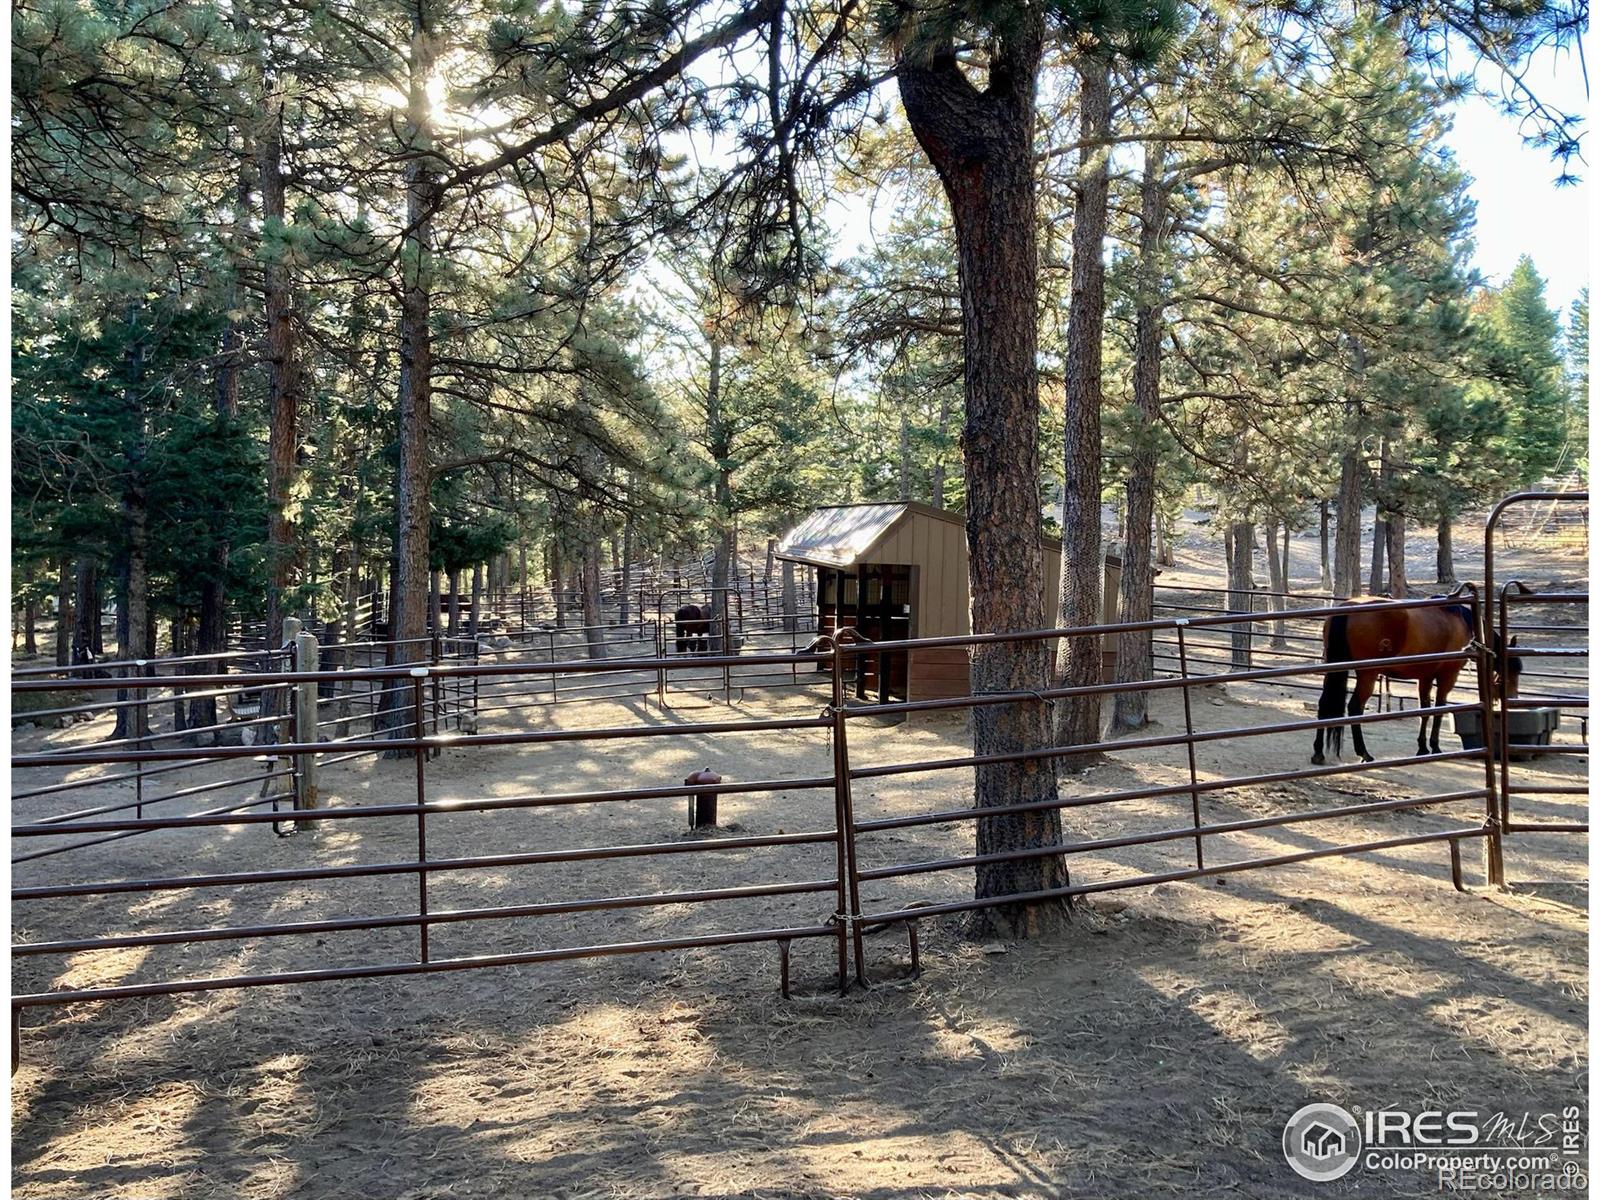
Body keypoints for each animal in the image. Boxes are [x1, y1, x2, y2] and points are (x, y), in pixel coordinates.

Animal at [1312, 601, 1523, 771]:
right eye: (1512, 670)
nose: (1513, 697)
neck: (1465, 623)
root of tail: (1347, 610)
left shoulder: (1425, 678)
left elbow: (1425, 710)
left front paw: (1422, 747)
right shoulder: (1447, 677)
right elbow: (1438, 710)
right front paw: (1435, 747)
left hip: (1334, 668)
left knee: (1324, 704)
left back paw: (1318, 753)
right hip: (1368, 675)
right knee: (1355, 707)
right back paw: (1364, 753)